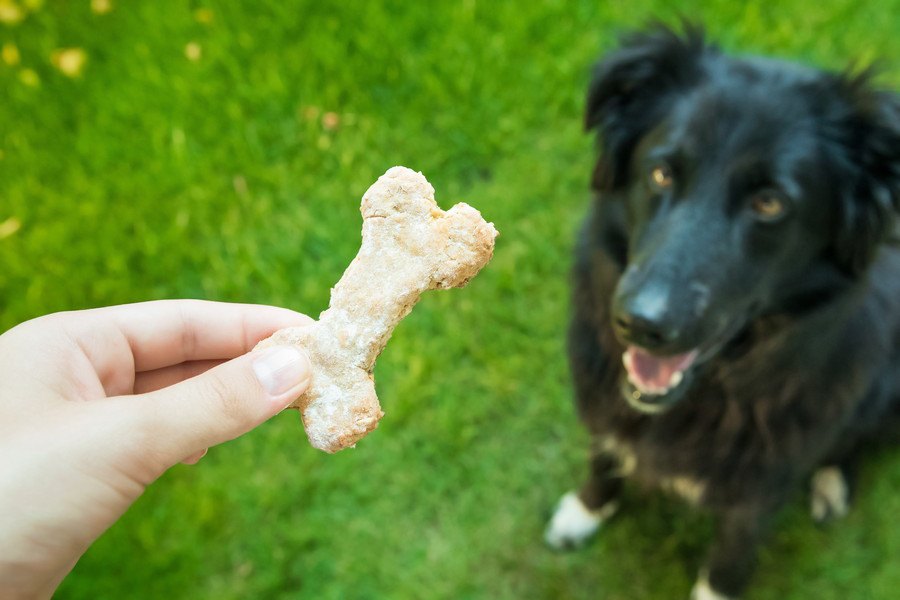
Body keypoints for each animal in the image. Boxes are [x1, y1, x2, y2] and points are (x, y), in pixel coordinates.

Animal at [540, 23, 900, 600]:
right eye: (661, 173)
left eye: (770, 203)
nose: (640, 325)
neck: (715, 394)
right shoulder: (605, 406)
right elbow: (602, 456)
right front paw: (586, 509)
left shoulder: (757, 494)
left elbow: (728, 560)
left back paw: (833, 480)